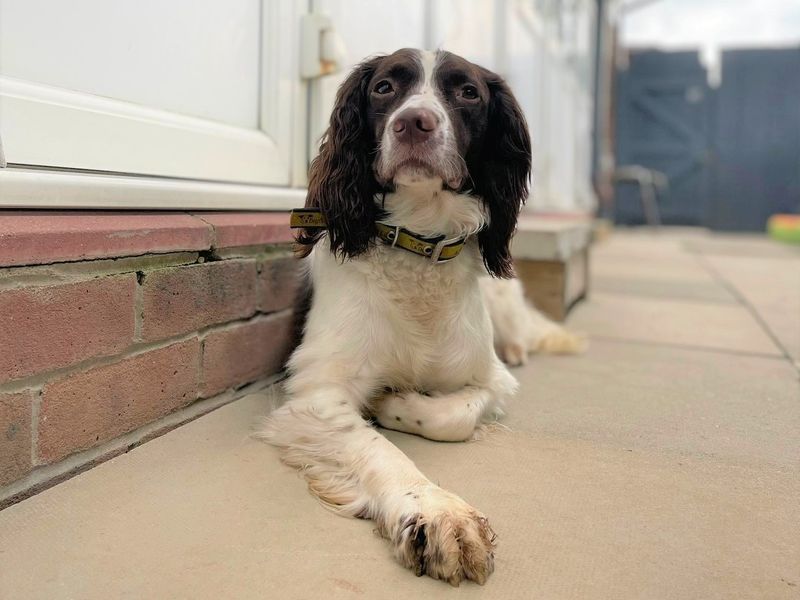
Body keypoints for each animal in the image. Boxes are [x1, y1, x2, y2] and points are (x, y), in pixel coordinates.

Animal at [260, 48, 580, 584]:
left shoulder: (490, 380)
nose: (414, 123)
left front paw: (395, 402)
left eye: (468, 92)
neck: (419, 243)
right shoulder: (316, 396)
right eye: (384, 87)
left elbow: (455, 415)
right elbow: (377, 449)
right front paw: (435, 511)